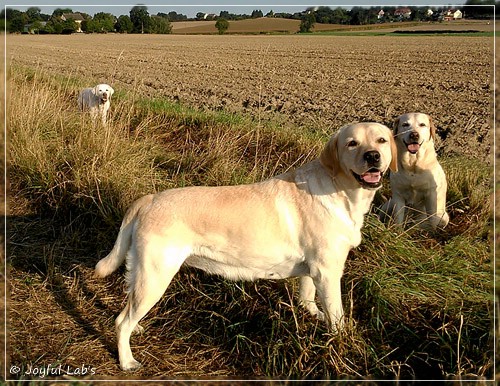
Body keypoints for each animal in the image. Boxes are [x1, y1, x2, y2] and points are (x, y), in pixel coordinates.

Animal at [95, 122, 396, 370]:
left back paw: (137, 330)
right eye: (352, 143)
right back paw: (127, 361)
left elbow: (307, 298)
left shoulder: (314, 270)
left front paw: (313, 314)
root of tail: (149, 199)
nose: (373, 157)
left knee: (127, 310)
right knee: (121, 321)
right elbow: (337, 315)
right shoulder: (328, 271)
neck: (340, 189)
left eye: (381, 140)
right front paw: (343, 340)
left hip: (144, 274)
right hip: (156, 275)